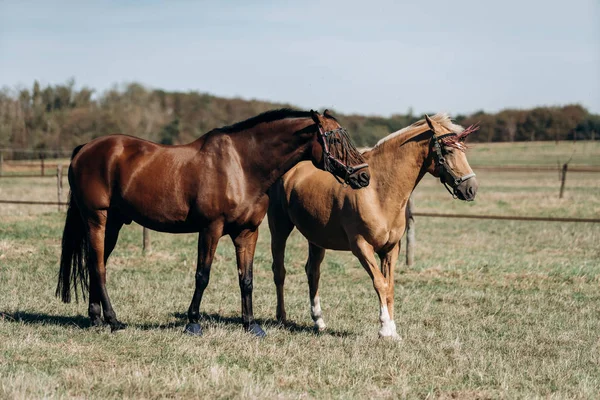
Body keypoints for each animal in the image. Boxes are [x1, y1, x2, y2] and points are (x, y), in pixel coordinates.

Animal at [56, 108, 368, 336]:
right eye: (335, 139)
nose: (363, 176)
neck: (242, 166)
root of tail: (84, 149)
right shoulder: (211, 229)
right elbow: (202, 275)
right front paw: (193, 322)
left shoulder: (247, 232)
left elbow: (247, 279)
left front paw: (251, 324)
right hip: (97, 218)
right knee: (98, 266)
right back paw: (113, 321)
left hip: (114, 223)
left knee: (95, 264)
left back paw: (97, 319)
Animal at [268, 113, 478, 338]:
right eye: (447, 150)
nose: (471, 189)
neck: (378, 191)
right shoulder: (362, 247)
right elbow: (379, 283)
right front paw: (385, 329)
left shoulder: (391, 249)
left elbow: (389, 286)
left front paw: (393, 330)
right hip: (279, 228)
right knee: (279, 271)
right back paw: (281, 318)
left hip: (316, 238)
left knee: (312, 272)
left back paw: (319, 321)